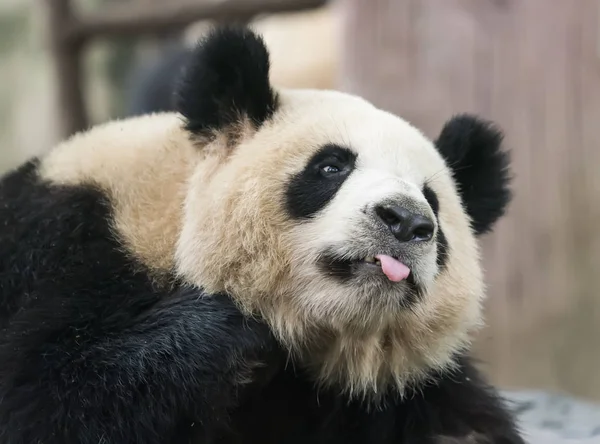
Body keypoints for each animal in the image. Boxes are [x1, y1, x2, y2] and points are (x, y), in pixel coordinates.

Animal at [0, 25, 524, 444]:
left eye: (432, 201)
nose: (406, 220)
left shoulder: (397, 392)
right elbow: (47, 402)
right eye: (331, 166)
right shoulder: (65, 247)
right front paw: (226, 330)